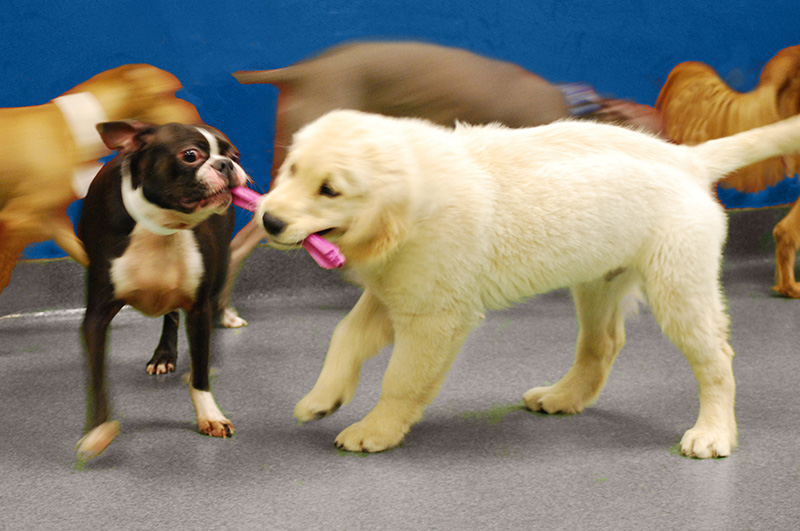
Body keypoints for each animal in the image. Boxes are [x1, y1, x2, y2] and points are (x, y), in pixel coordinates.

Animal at [0, 64, 200, 296]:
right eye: (169, 93)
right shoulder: (15, 219)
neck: (70, 130)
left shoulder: (52, 221)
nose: (195, 114)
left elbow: (89, 259)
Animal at [258, 108, 800, 458]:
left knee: (716, 359)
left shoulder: (435, 313)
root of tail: (687, 160)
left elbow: (402, 380)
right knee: (602, 344)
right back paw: (563, 398)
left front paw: (376, 429)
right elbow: (345, 336)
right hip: (598, 279)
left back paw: (713, 433)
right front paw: (322, 398)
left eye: (330, 190)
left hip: (678, 282)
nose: (267, 219)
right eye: (291, 168)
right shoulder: (394, 290)